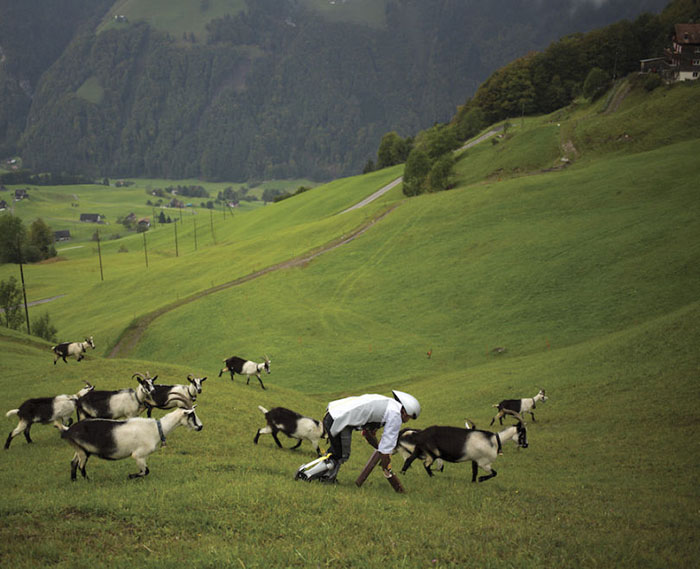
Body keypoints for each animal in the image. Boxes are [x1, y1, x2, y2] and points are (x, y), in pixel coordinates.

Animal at [59, 398, 202, 482]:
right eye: (191, 415)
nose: (200, 426)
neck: (156, 428)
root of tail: (68, 430)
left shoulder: (143, 456)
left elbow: (145, 471)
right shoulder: (138, 455)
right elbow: (145, 471)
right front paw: (130, 476)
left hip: (79, 448)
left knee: (73, 463)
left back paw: (74, 480)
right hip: (83, 451)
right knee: (81, 466)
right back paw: (89, 480)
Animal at [396, 410, 528, 482]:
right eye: (522, 433)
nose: (526, 444)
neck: (494, 441)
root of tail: (420, 434)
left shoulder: (475, 460)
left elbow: (474, 473)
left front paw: (474, 482)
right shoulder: (483, 463)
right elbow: (494, 473)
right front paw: (481, 479)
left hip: (420, 449)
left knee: (409, 460)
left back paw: (405, 474)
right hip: (433, 453)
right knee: (425, 464)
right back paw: (432, 476)